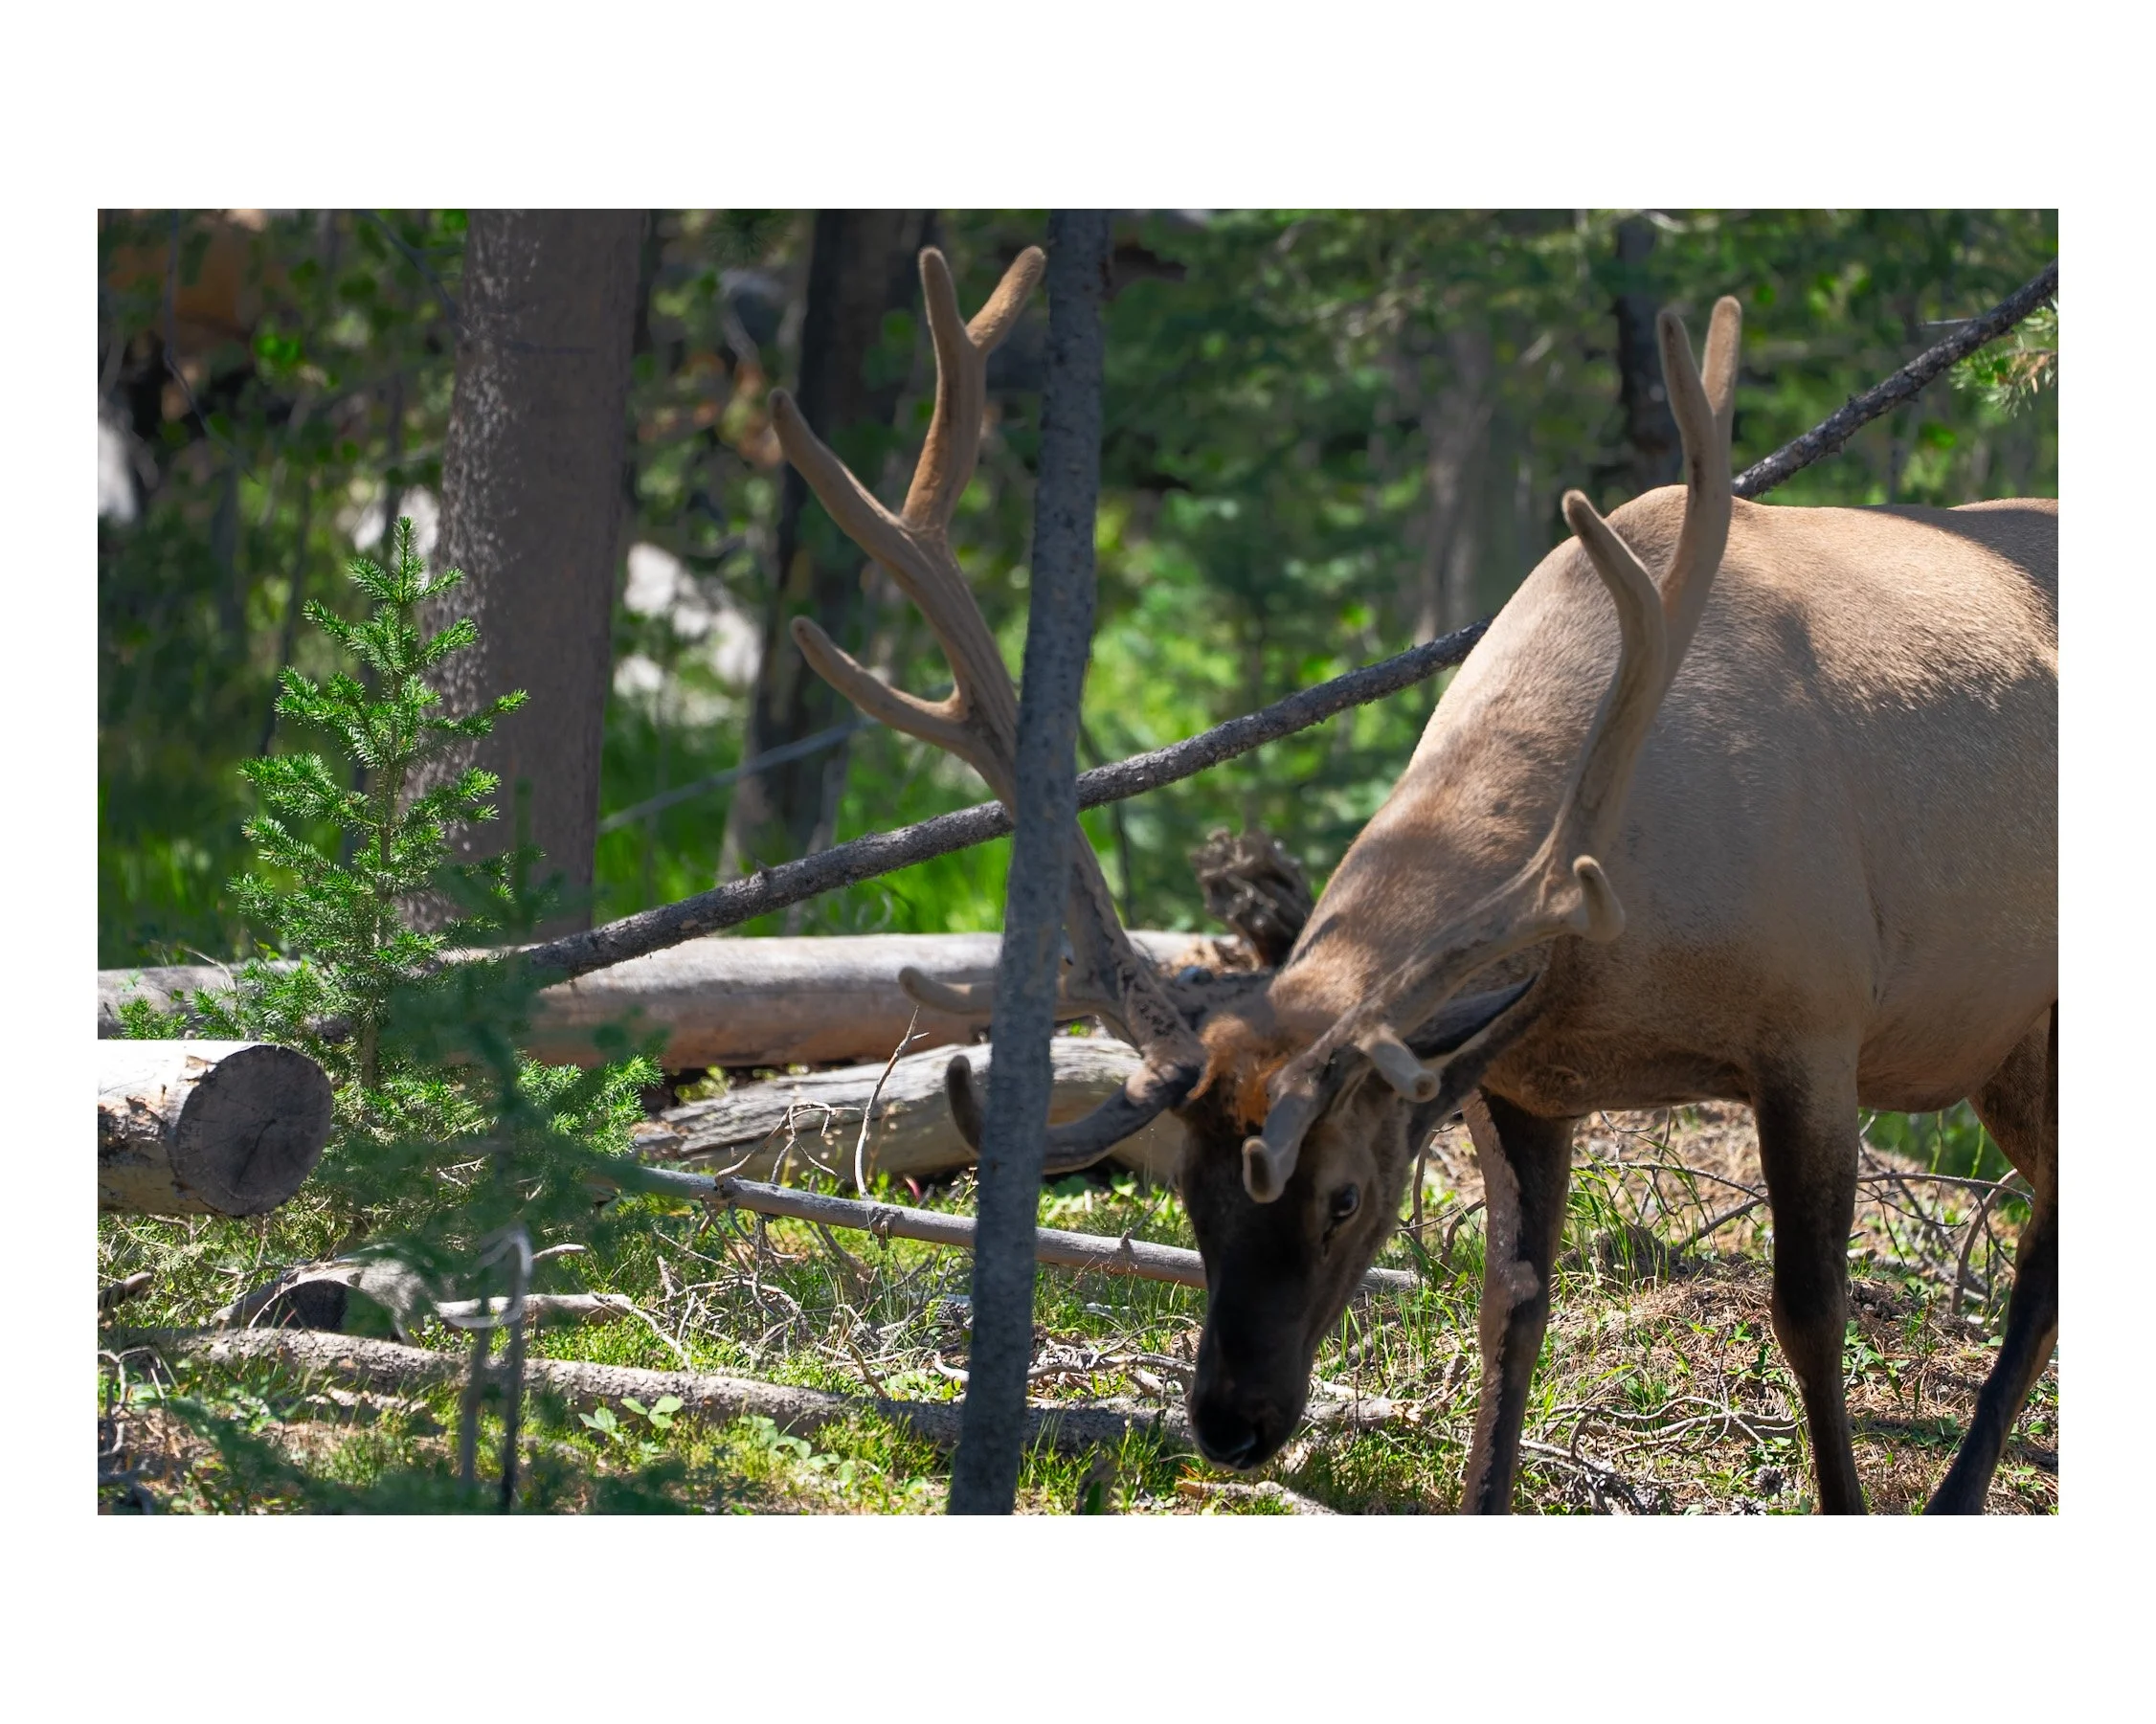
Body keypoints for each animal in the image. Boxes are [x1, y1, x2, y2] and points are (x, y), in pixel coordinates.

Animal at [770, 243, 2058, 1515]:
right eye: (1189, 1191)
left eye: (1341, 1197)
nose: (1228, 1423)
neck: (1615, 925)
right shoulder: (1519, 1081)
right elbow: (1509, 1315)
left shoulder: (1814, 1023)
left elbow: (1807, 1312)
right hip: (2006, 1049)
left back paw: (1956, 1494)